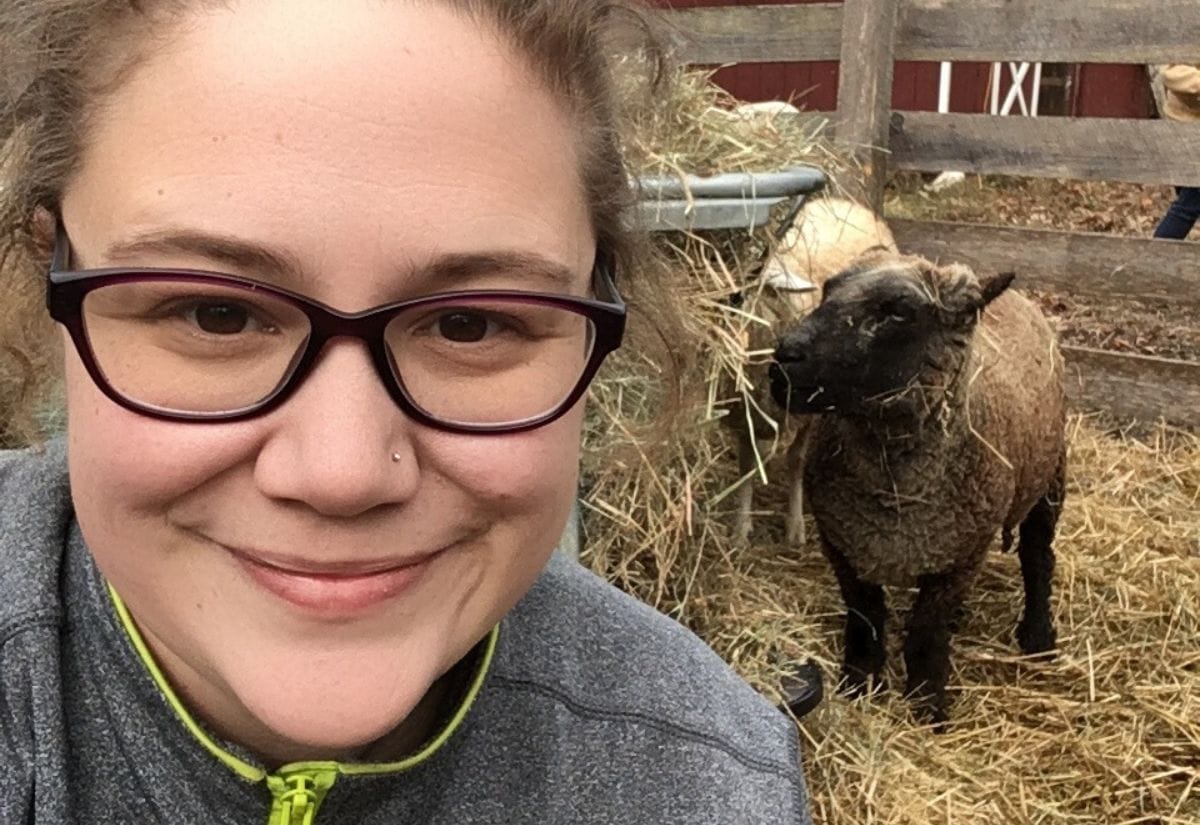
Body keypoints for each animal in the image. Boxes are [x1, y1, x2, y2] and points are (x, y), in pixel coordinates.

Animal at [763, 249, 1065, 719]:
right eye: (828, 290)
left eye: (900, 312)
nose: (784, 360)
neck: (895, 494)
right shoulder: (843, 544)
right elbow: (865, 618)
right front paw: (859, 684)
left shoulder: (962, 555)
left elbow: (926, 632)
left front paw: (928, 706)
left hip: (1050, 478)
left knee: (1038, 557)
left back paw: (1037, 637)